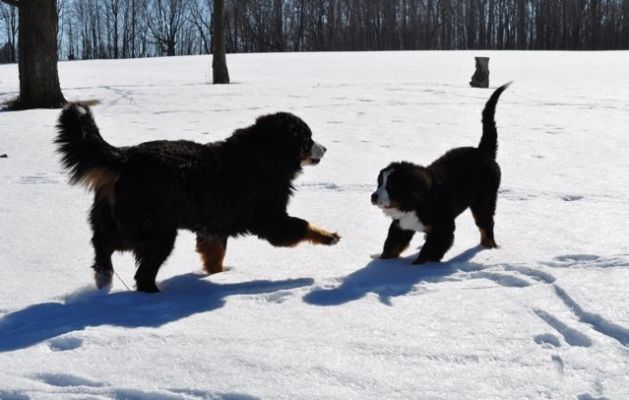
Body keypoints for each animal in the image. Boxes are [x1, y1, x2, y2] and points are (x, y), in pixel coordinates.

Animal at [55, 105, 338, 294]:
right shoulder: (269, 219)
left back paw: (104, 279)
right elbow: (302, 225)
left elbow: (214, 256)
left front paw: (219, 275)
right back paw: (155, 296)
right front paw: (329, 236)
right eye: (307, 138)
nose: (325, 148)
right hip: (155, 231)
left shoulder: (214, 225)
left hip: (117, 222)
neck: (266, 154)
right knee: (142, 272)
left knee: (102, 245)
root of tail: (125, 157)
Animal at [368, 83, 510, 264]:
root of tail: (483, 151)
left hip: (484, 199)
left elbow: (429, 252)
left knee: (486, 223)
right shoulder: (401, 226)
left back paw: (489, 247)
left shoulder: (442, 229)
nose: (374, 196)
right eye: (380, 183)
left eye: (392, 186)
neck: (415, 203)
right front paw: (382, 263)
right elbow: (391, 246)